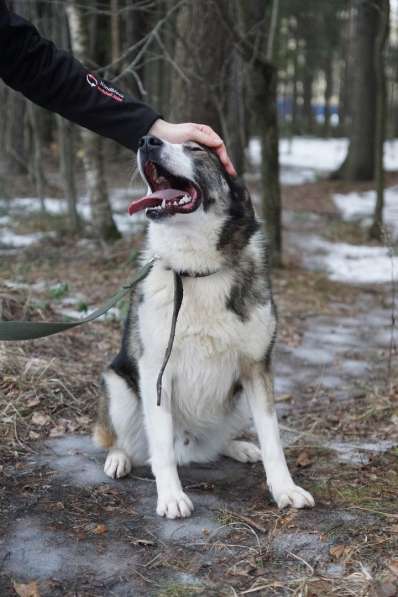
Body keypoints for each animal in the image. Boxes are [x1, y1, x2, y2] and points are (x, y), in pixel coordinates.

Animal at [93, 135, 314, 516]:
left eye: (196, 149)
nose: (147, 139)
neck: (196, 271)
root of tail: (191, 447)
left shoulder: (257, 369)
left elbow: (273, 440)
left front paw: (285, 489)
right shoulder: (155, 372)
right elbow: (161, 449)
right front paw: (171, 496)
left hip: (238, 401)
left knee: (218, 442)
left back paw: (239, 447)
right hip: (119, 387)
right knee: (128, 442)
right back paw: (119, 459)